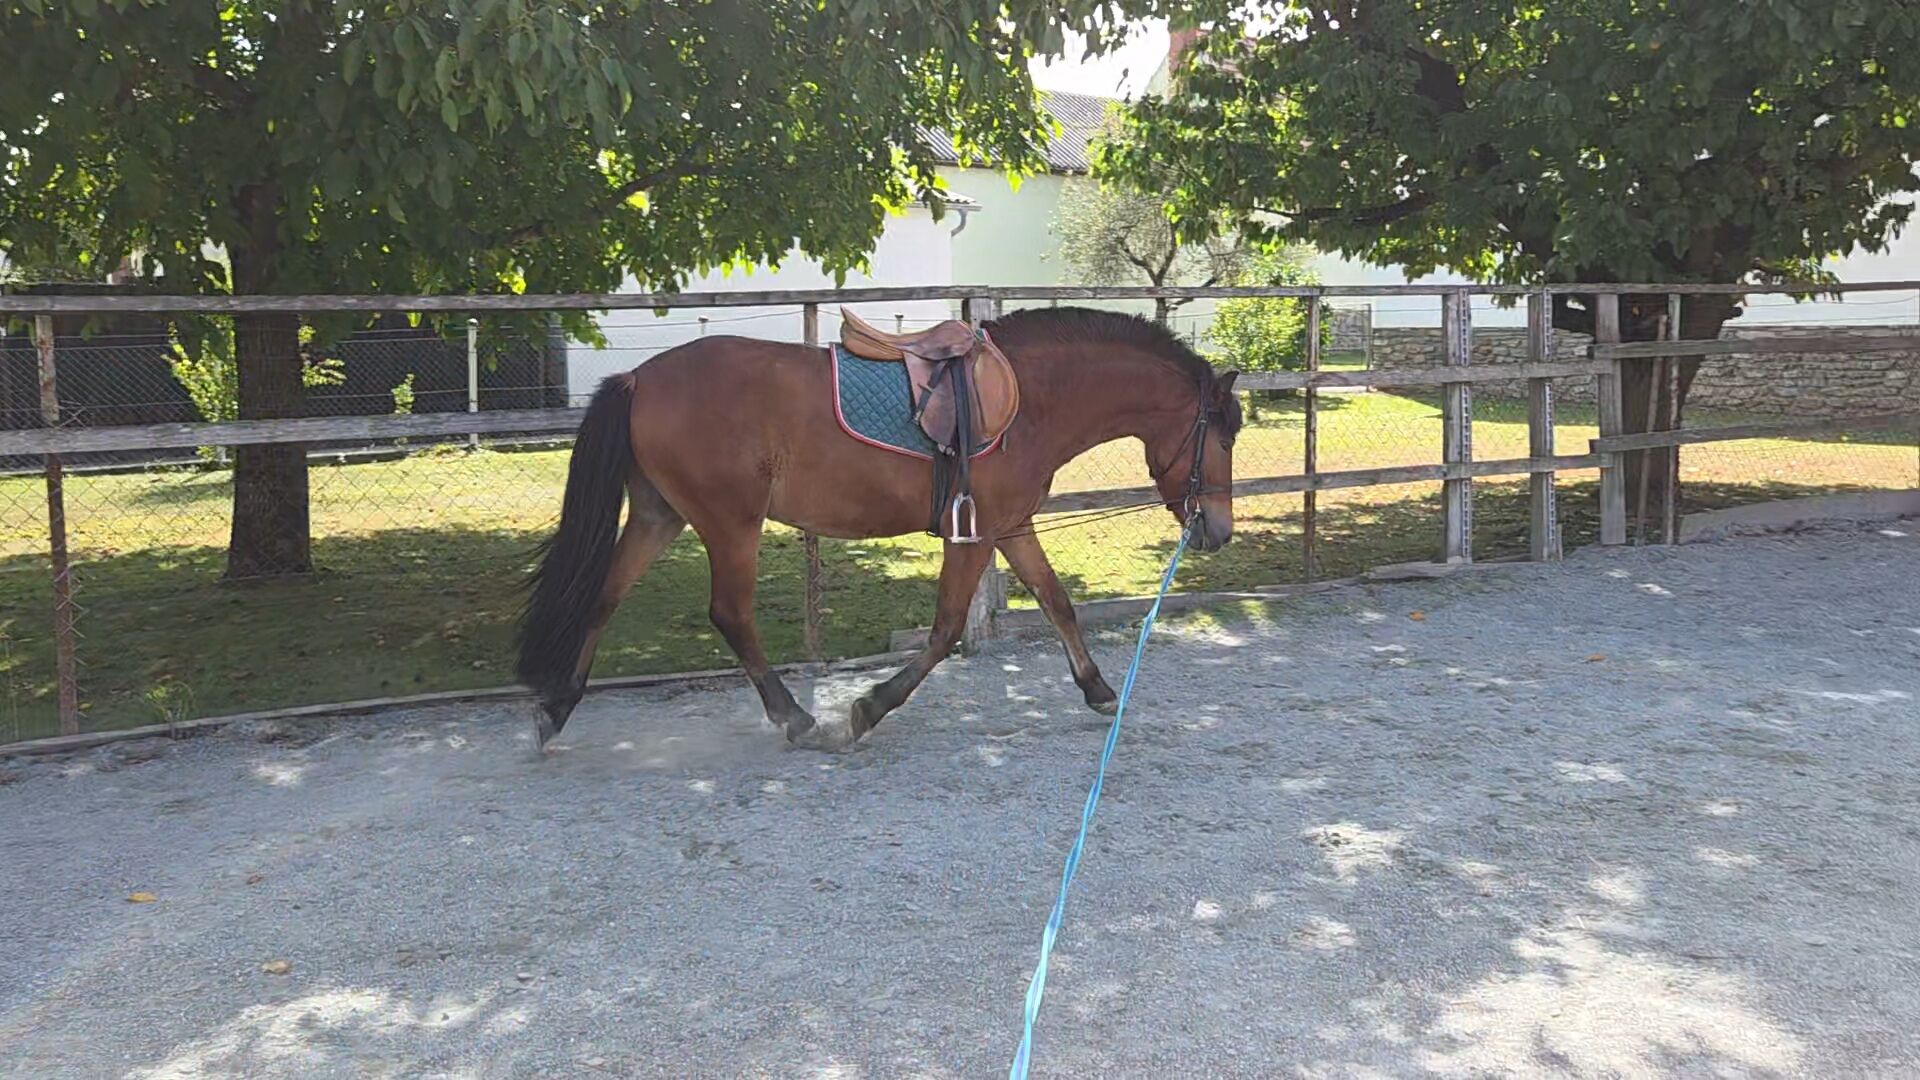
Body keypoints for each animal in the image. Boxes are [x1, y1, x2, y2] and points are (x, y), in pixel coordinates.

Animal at [514, 306, 1242, 752]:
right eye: (1224, 435)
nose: (1218, 530)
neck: (1033, 398)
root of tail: (639, 377)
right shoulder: (974, 535)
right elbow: (946, 630)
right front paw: (869, 707)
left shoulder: (1011, 527)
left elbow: (1057, 602)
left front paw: (1097, 690)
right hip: (730, 522)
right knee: (731, 614)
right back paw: (797, 717)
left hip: (660, 515)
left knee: (604, 597)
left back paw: (558, 707)